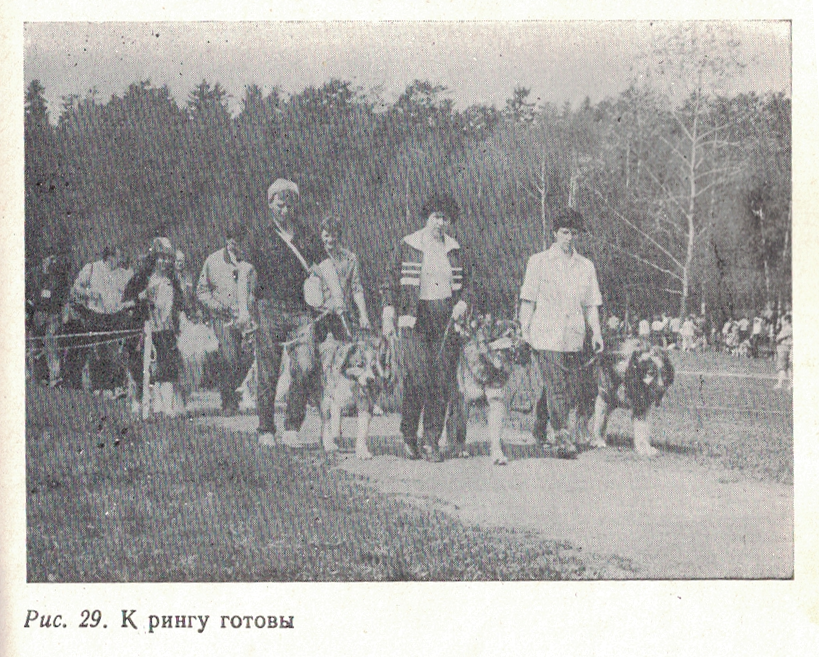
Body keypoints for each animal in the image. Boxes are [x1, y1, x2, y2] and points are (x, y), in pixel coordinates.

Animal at [320, 330, 394, 458]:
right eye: (359, 365)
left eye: (374, 367)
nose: (370, 380)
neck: (351, 383)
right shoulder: (331, 399)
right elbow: (331, 421)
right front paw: (330, 442)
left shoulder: (365, 404)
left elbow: (362, 431)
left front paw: (362, 451)